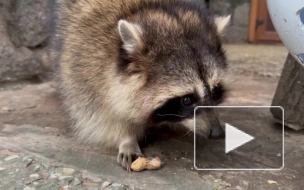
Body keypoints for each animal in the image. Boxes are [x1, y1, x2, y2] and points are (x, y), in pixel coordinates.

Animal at [50, 0, 230, 171]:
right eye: (187, 100)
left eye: (215, 91)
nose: (218, 133)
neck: (151, 7)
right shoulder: (85, 65)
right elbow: (101, 116)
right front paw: (126, 138)